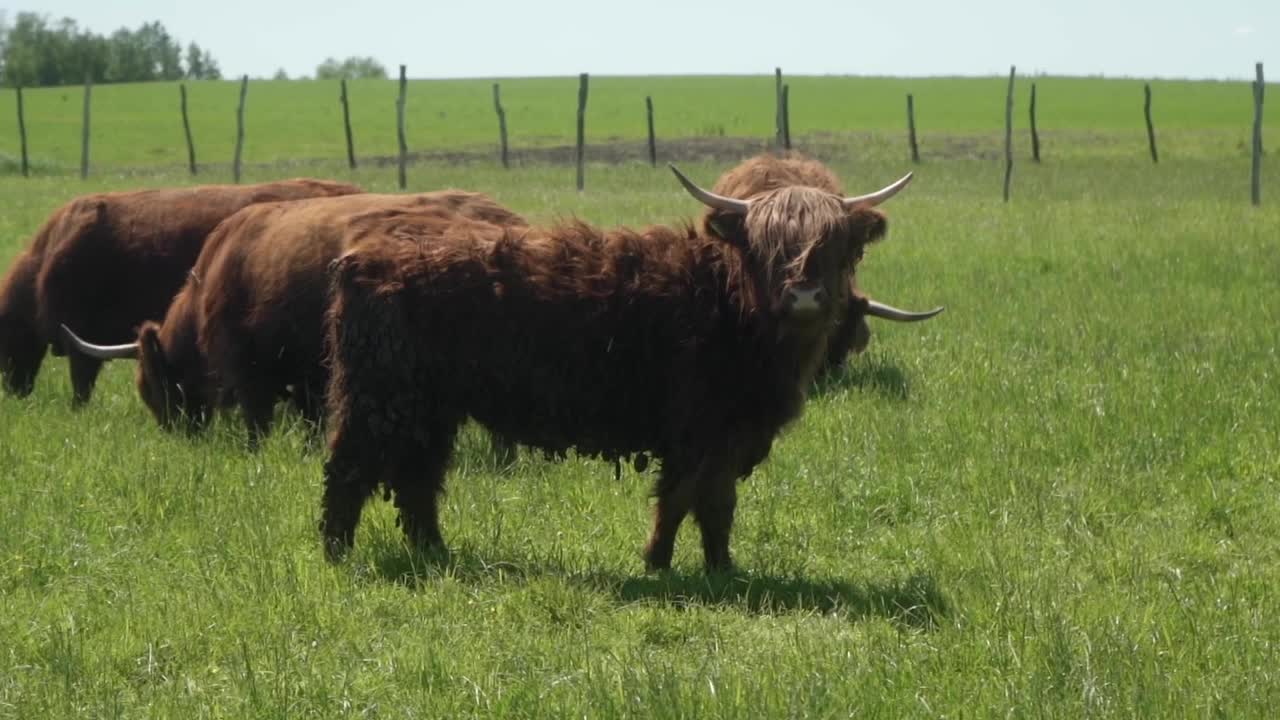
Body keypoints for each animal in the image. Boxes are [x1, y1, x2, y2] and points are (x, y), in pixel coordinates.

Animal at [63, 190, 524, 453]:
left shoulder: (248, 368)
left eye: (152, 389)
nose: (177, 439)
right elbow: (310, 420)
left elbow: (258, 419)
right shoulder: (308, 375)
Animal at [318, 165, 931, 568]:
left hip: (430, 406)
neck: (732, 304)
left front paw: (718, 567)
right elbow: (690, 498)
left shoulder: (727, 433)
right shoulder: (701, 428)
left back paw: (435, 553)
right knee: (350, 467)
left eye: (834, 245)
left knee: (418, 478)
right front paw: (663, 563)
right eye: (768, 245)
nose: (804, 296)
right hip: (379, 397)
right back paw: (337, 554)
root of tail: (363, 258)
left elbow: (713, 504)